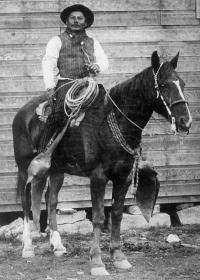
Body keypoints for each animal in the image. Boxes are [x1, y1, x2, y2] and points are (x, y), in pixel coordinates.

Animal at [12, 50, 192, 276]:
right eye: (164, 84)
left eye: (182, 83)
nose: (186, 121)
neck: (111, 123)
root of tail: (22, 114)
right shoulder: (98, 178)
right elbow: (98, 217)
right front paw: (97, 262)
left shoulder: (123, 178)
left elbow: (116, 215)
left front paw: (118, 257)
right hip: (24, 169)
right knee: (27, 202)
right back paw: (27, 247)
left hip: (57, 171)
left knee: (51, 200)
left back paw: (58, 245)